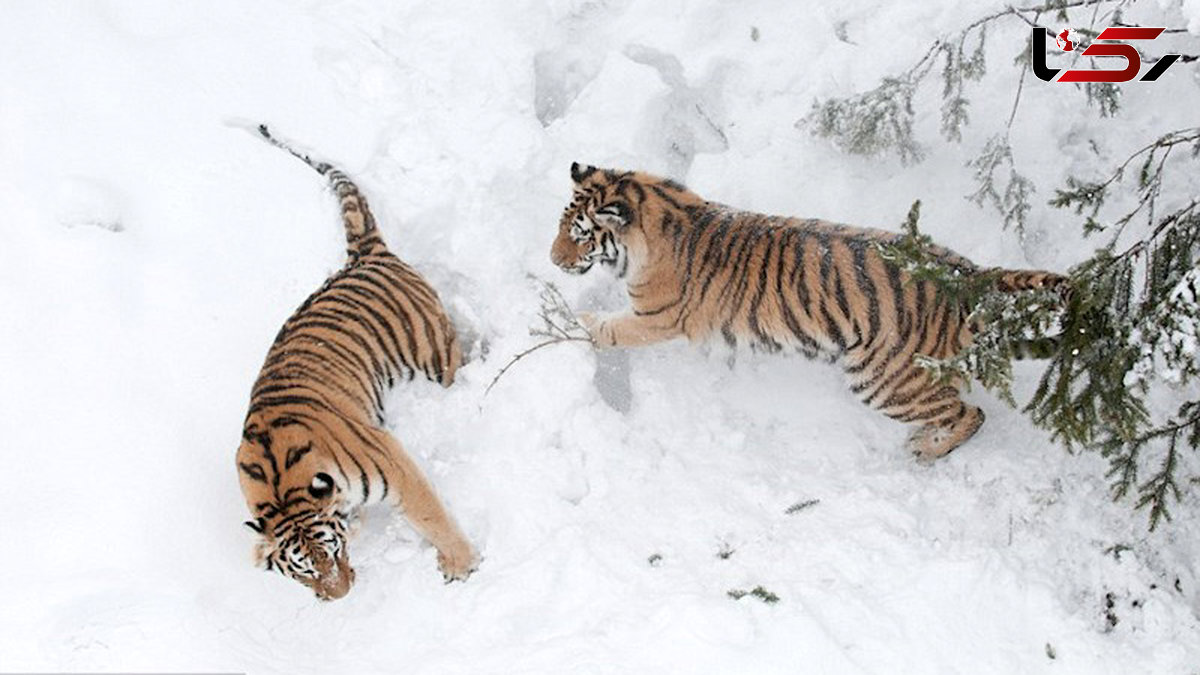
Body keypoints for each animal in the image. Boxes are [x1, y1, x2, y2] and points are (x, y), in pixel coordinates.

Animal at [234, 126, 477, 598]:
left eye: (331, 550)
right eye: (302, 570)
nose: (339, 596)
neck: (283, 491)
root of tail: (365, 255)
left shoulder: (393, 463)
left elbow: (429, 515)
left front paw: (462, 564)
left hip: (434, 357)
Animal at [549, 163, 1065, 456]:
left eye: (580, 235)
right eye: (562, 225)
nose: (553, 259)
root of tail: (969, 274)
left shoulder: (656, 317)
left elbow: (611, 329)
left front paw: (573, 324)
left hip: (883, 379)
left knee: (967, 414)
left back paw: (925, 450)